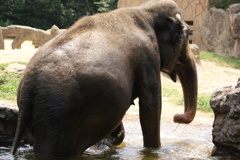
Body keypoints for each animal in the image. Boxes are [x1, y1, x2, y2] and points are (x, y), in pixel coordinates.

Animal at [11, 0, 198, 159]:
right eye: (187, 35)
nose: (177, 117)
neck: (144, 9)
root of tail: (28, 85)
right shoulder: (148, 56)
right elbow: (151, 106)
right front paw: (153, 151)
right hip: (58, 118)